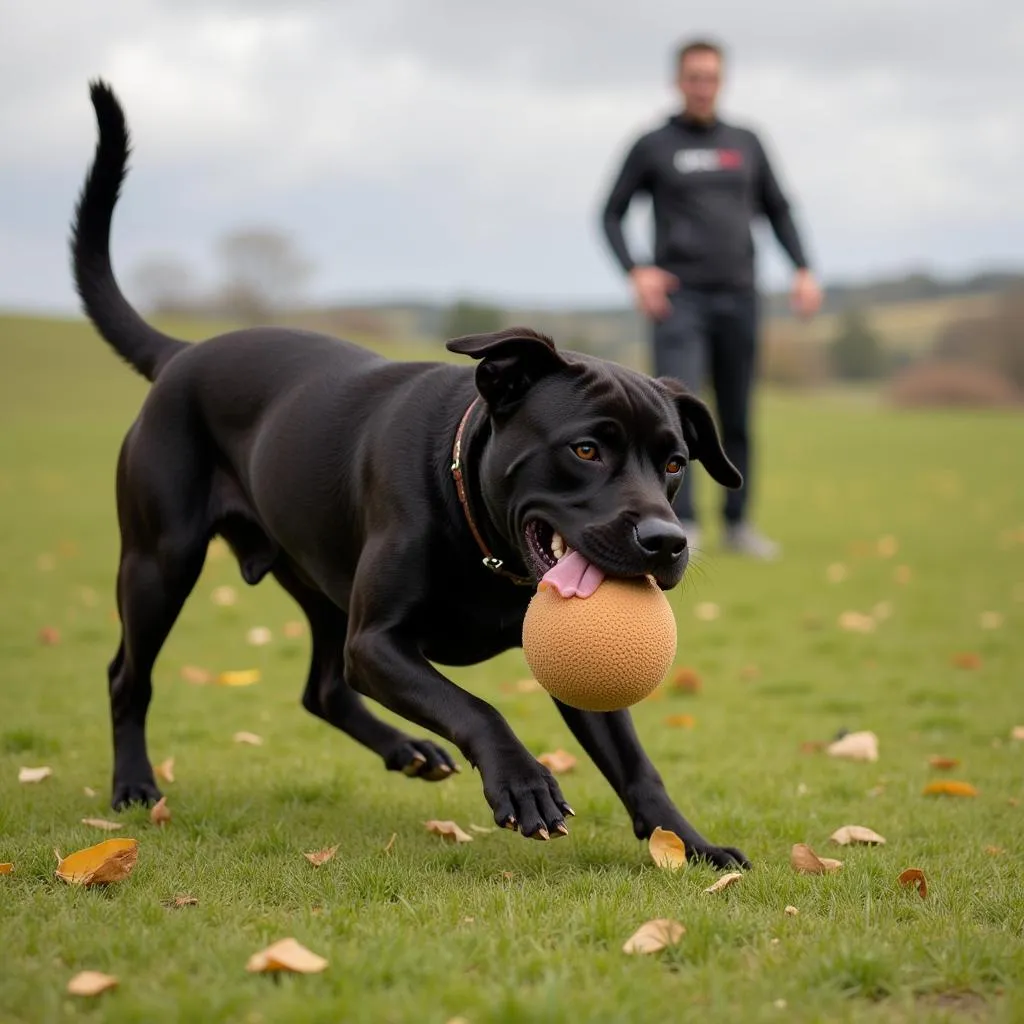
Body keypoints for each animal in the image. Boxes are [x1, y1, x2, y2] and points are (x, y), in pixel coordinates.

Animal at [70, 79, 745, 868]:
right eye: (585, 451)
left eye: (673, 463)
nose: (667, 542)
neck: (482, 535)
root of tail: (182, 354)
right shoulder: (380, 641)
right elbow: (475, 705)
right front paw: (523, 783)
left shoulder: (550, 657)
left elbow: (635, 761)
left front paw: (691, 844)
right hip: (161, 562)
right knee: (129, 676)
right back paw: (133, 786)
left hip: (317, 582)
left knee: (323, 689)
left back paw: (407, 750)